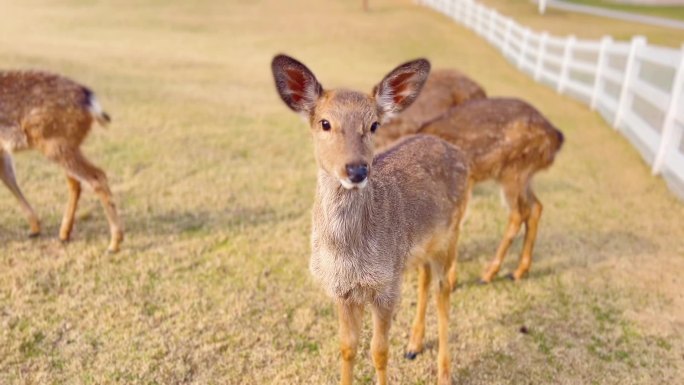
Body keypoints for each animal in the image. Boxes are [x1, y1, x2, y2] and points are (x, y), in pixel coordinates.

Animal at [0, 70, 123, 252]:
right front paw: (35, 227)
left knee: (96, 176)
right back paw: (64, 234)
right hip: (64, 144)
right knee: (76, 182)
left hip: (55, 142)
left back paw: (113, 244)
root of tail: (90, 101)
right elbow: (9, 178)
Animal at [272, 54, 470, 384]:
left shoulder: (386, 285)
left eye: (374, 125)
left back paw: (444, 373)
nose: (356, 169)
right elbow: (347, 348)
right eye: (324, 123)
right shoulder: (341, 290)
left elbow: (379, 351)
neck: (349, 257)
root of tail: (458, 152)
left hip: (451, 234)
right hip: (420, 247)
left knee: (444, 292)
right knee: (425, 279)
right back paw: (413, 345)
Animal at [376, 92, 564, 282]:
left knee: (519, 213)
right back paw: (518, 271)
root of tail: (556, 138)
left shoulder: (465, 182)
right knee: (536, 207)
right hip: (524, 174)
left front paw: (451, 277)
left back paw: (488, 274)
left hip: (514, 170)